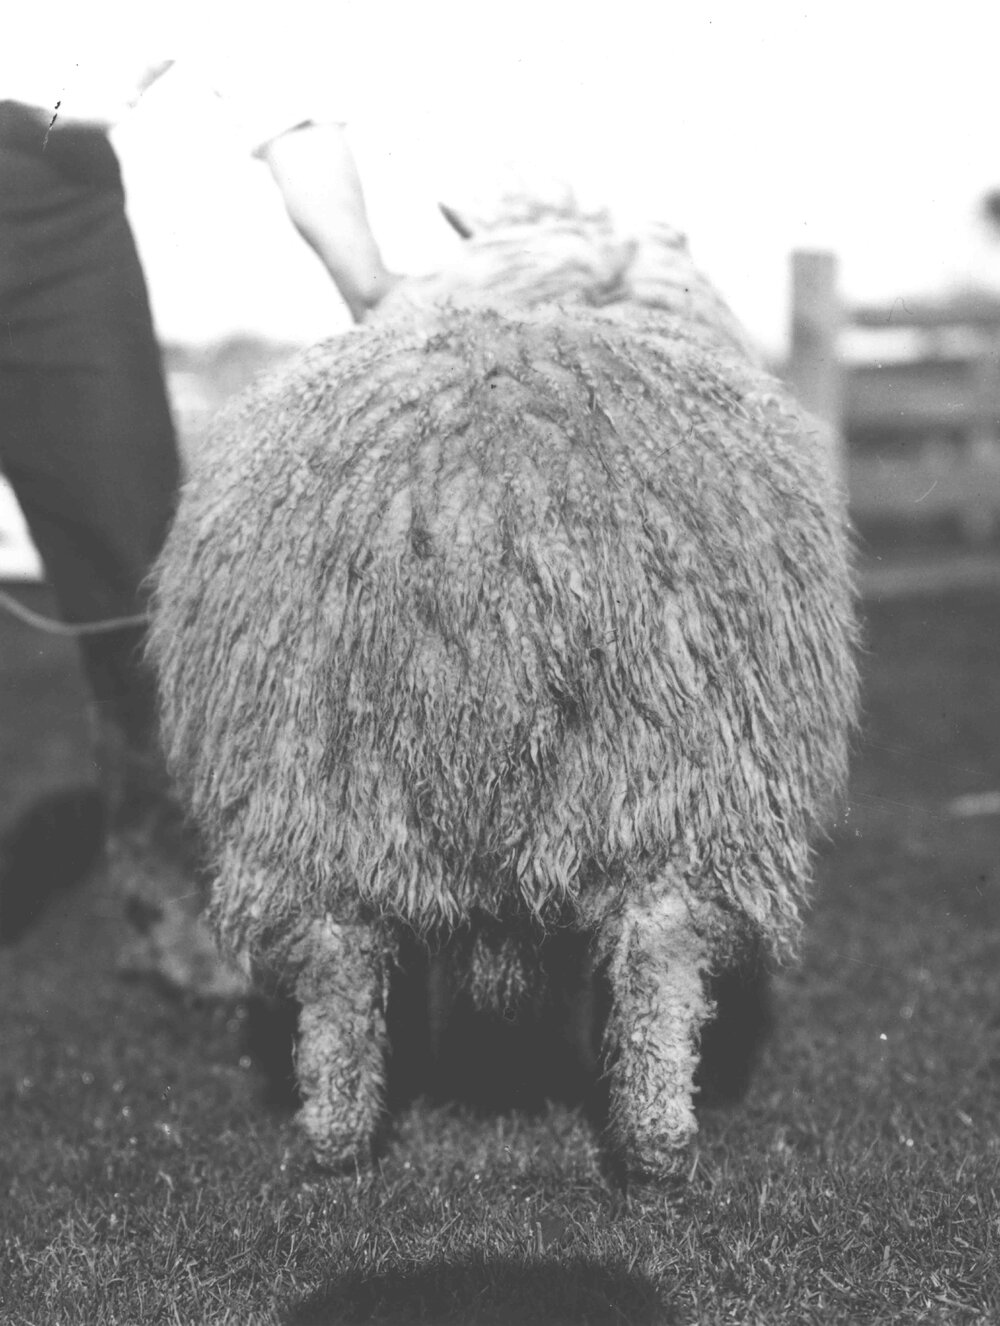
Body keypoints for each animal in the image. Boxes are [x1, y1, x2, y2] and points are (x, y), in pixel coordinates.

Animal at [148, 207, 857, 1181]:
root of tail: (482, 504)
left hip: (315, 780)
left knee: (337, 961)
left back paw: (337, 1134)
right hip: (685, 776)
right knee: (661, 947)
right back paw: (656, 1140)